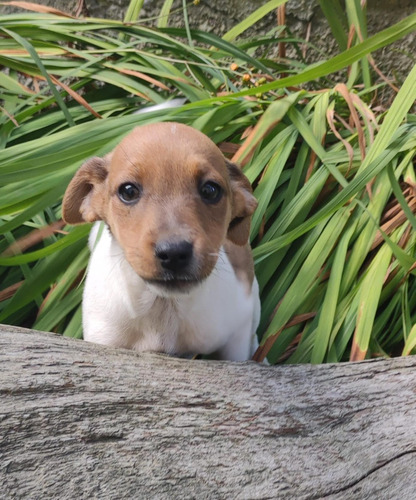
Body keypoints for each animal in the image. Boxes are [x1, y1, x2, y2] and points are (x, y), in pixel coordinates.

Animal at [62, 123, 260, 362]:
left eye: (210, 190)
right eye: (128, 191)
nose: (174, 253)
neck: (164, 308)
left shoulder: (236, 335)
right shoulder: (103, 339)